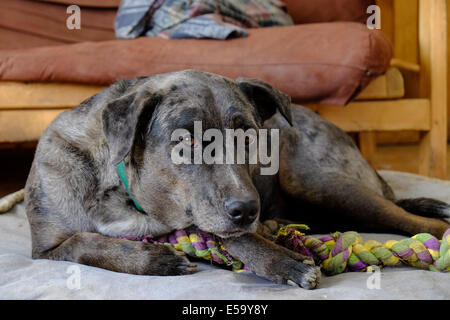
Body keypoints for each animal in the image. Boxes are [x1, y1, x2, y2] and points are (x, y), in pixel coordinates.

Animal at [23, 70, 450, 290]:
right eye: (187, 140)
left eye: (247, 137)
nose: (248, 210)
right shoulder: (45, 248)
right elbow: (85, 243)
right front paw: (158, 259)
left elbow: (235, 236)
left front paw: (281, 260)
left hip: (321, 184)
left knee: (413, 220)